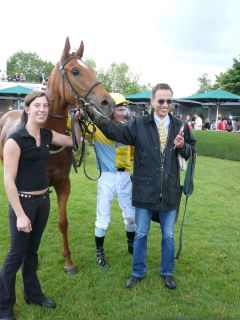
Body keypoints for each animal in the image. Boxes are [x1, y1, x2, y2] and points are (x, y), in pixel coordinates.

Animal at [0, 37, 114, 276]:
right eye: (75, 71)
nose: (107, 103)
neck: (47, 137)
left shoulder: (63, 183)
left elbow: (62, 222)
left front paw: (68, 262)